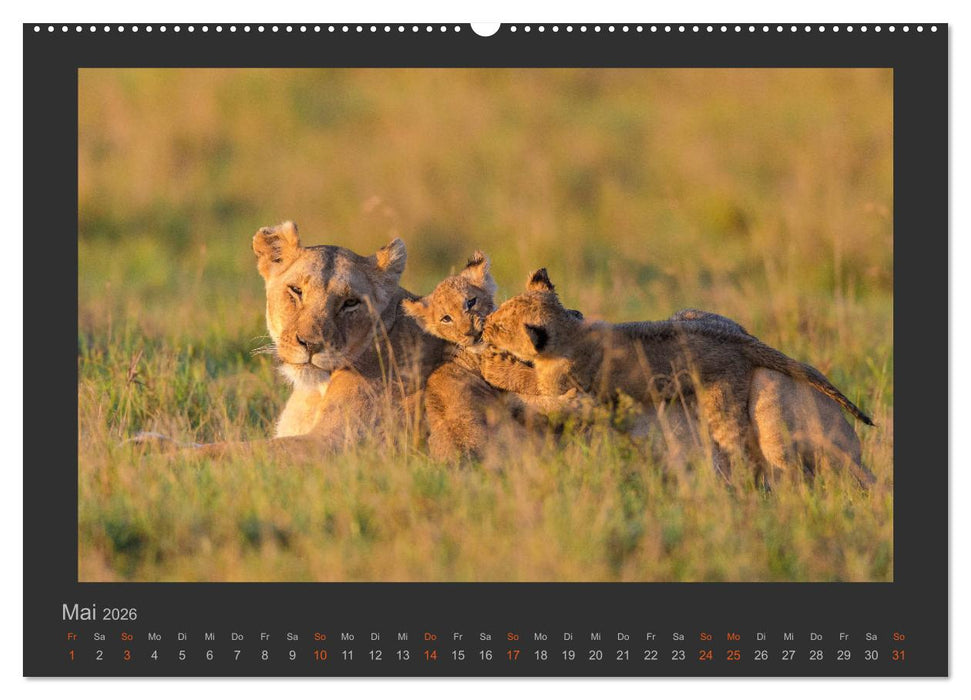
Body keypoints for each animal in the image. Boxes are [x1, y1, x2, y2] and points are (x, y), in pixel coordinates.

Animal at [479, 269, 876, 487]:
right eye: (498, 313)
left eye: (500, 325)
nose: (483, 325)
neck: (571, 329)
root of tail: (742, 340)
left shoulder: (564, 385)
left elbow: (526, 380)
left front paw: (492, 364)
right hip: (690, 313)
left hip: (725, 405)